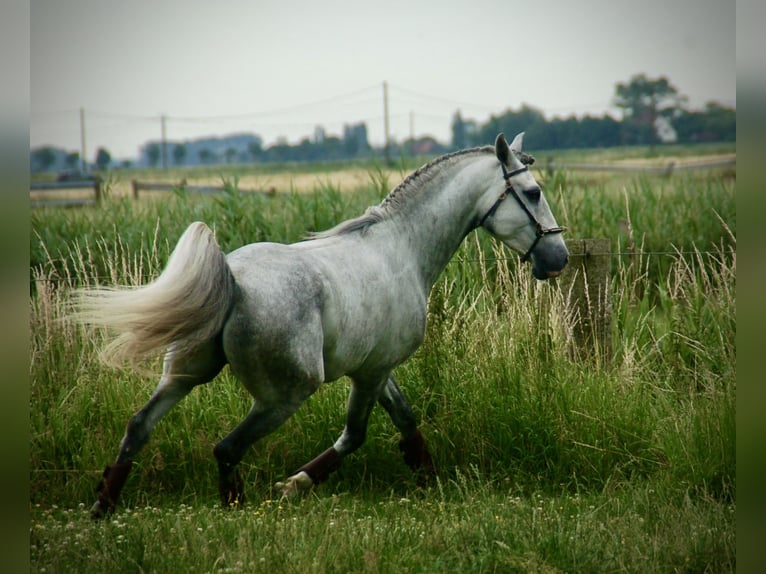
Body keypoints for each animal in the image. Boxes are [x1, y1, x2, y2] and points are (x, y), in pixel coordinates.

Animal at [79, 133, 568, 520]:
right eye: (532, 191)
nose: (558, 258)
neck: (402, 248)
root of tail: (232, 281)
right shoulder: (370, 373)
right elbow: (355, 435)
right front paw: (292, 486)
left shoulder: (377, 368)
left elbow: (406, 421)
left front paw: (430, 481)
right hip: (284, 395)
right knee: (226, 448)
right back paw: (236, 508)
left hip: (184, 374)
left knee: (138, 427)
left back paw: (103, 505)